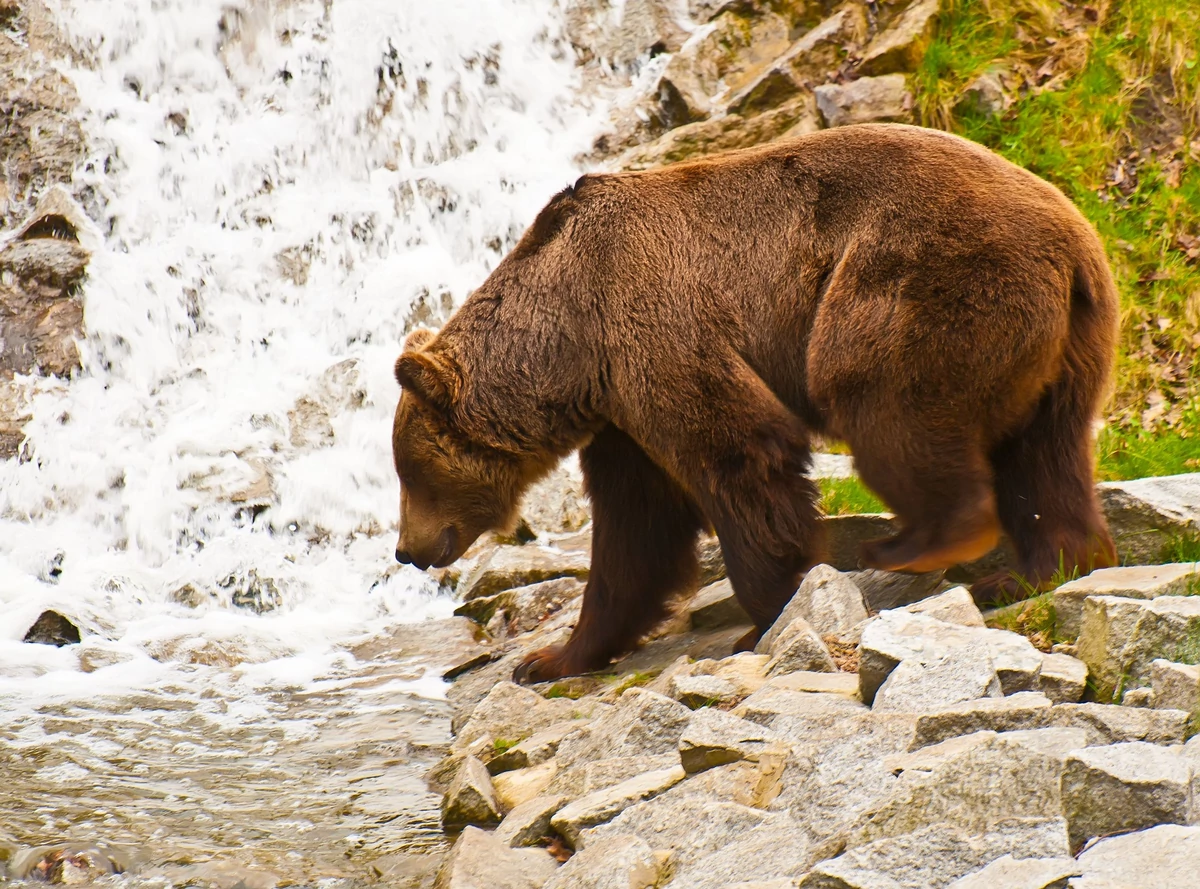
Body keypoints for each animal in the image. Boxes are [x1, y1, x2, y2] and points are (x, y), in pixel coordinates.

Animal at [391, 121, 1113, 681]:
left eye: (411, 474)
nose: (406, 550)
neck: (567, 344)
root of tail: (1074, 241)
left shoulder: (651, 325)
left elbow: (737, 456)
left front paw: (767, 612)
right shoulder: (621, 411)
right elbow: (635, 530)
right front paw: (552, 658)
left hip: (917, 277)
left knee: (883, 400)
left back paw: (916, 545)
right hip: (1066, 348)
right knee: (1047, 458)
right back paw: (1040, 569)